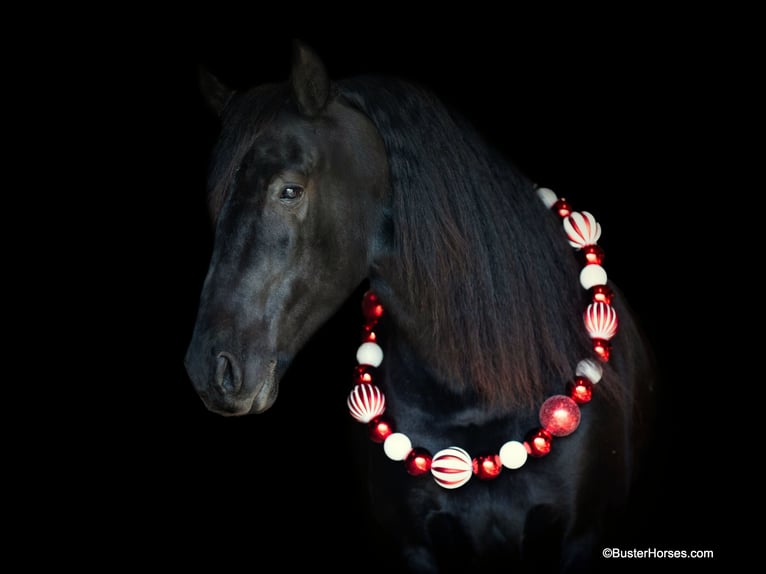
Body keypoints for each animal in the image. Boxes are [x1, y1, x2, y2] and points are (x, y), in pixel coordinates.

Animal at [184, 41, 655, 573]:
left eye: (290, 189)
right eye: (216, 204)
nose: (210, 369)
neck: (473, 394)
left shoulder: (582, 536)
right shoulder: (416, 547)